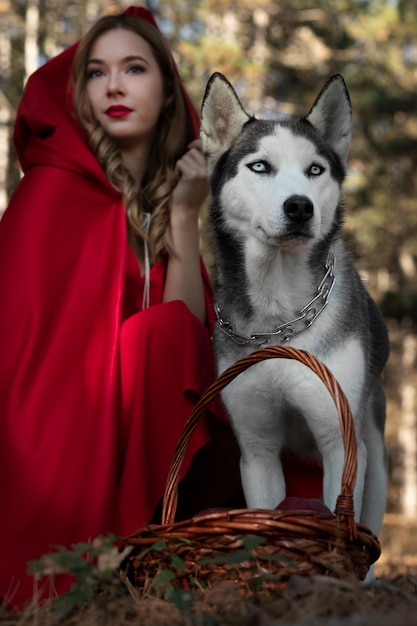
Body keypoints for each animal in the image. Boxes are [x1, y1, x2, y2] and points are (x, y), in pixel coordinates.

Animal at [200, 73, 388, 536]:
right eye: (260, 166)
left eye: (315, 169)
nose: (300, 206)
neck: (280, 317)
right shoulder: (257, 448)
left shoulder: (341, 442)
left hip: (375, 452)